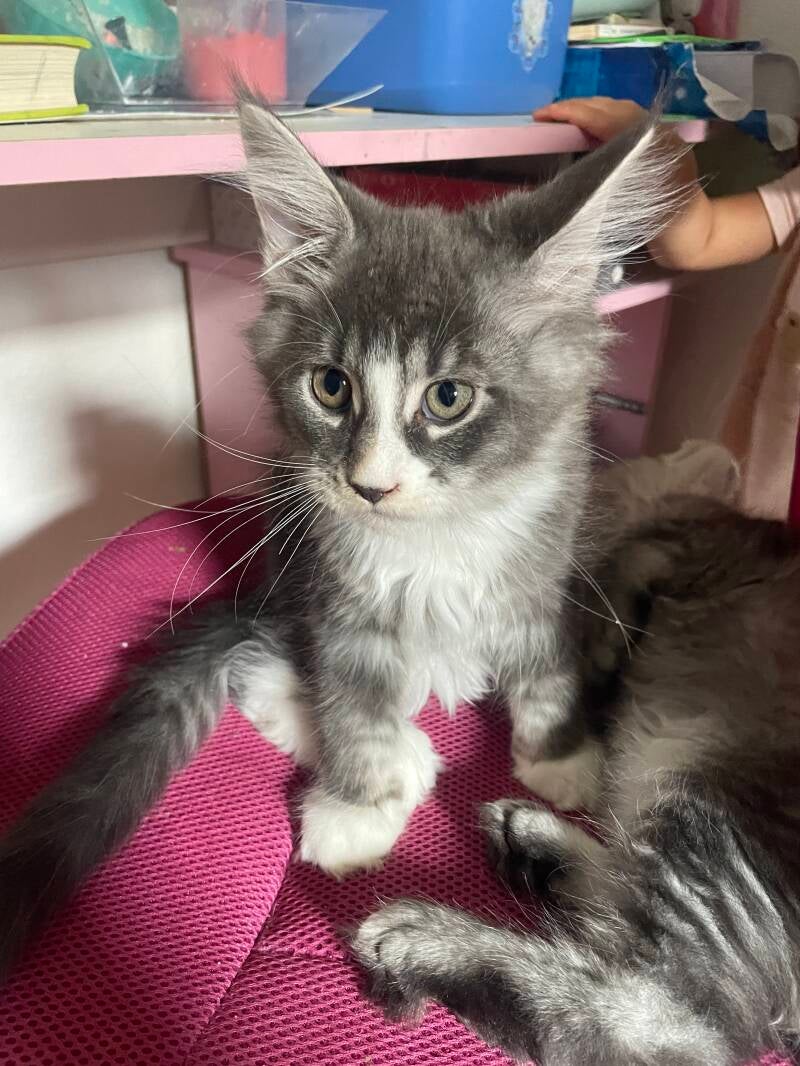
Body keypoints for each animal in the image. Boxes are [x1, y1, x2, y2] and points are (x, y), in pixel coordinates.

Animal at [0, 94, 682, 979]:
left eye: (449, 398)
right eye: (331, 387)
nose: (369, 485)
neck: (438, 538)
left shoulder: (542, 569)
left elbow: (546, 666)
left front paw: (562, 759)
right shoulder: (341, 602)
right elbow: (355, 703)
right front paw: (359, 809)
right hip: (283, 586)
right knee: (265, 663)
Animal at [352, 445, 800, 1066]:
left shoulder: (655, 547)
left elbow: (619, 586)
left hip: (709, 817)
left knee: (663, 1018)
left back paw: (431, 943)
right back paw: (535, 841)